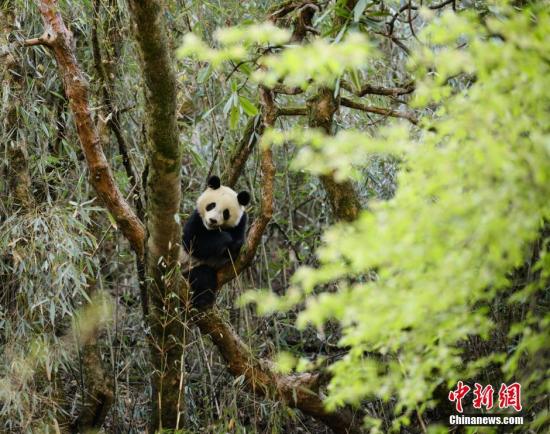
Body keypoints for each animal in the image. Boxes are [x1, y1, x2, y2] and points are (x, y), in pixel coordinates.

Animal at [182, 176, 251, 308]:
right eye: (211, 205)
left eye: (226, 213)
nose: (212, 220)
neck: (212, 230)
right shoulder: (197, 218)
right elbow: (193, 242)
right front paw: (224, 238)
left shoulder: (240, 224)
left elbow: (234, 251)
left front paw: (234, 246)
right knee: (202, 277)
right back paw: (202, 301)